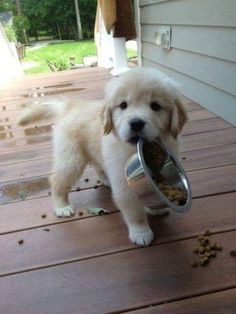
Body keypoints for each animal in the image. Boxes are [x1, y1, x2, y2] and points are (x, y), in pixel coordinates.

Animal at [18, 67, 187, 247]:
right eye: (123, 105)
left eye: (155, 106)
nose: (136, 123)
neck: (131, 149)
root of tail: (72, 106)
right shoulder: (123, 183)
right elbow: (134, 211)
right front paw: (140, 232)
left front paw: (158, 207)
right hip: (72, 159)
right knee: (58, 180)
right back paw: (61, 206)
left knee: (97, 165)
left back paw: (105, 179)